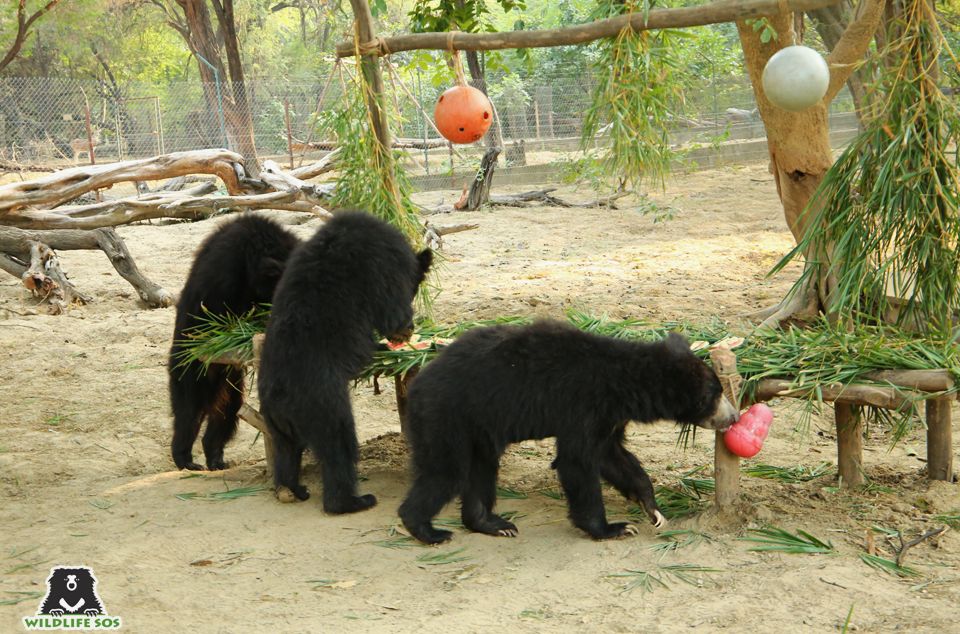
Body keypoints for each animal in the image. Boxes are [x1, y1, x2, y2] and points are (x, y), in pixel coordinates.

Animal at [170, 212, 300, 470]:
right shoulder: (224, 276)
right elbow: (226, 318)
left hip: (228, 378)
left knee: (227, 409)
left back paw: (215, 456)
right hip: (193, 362)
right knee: (190, 407)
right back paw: (185, 458)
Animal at [258, 212, 432, 512]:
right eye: (413, 288)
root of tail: (278, 396)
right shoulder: (381, 267)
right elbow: (391, 309)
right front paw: (400, 333)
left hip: (277, 424)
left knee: (287, 452)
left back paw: (293, 489)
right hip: (322, 401)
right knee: (338, 443)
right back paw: (352, 501)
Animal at [396, 320, 736, 544]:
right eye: (716, 394)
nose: (733, 417)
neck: (623, 384)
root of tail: (419, 383)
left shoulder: (609, 418)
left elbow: (613, 458)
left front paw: (653, 510)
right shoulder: (582, 405)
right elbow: (578, 462)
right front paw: (614, 528)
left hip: (477, 427)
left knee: (482, 469)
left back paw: (493, 523)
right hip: (447, 416)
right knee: (446, 472)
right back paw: (428, 530)